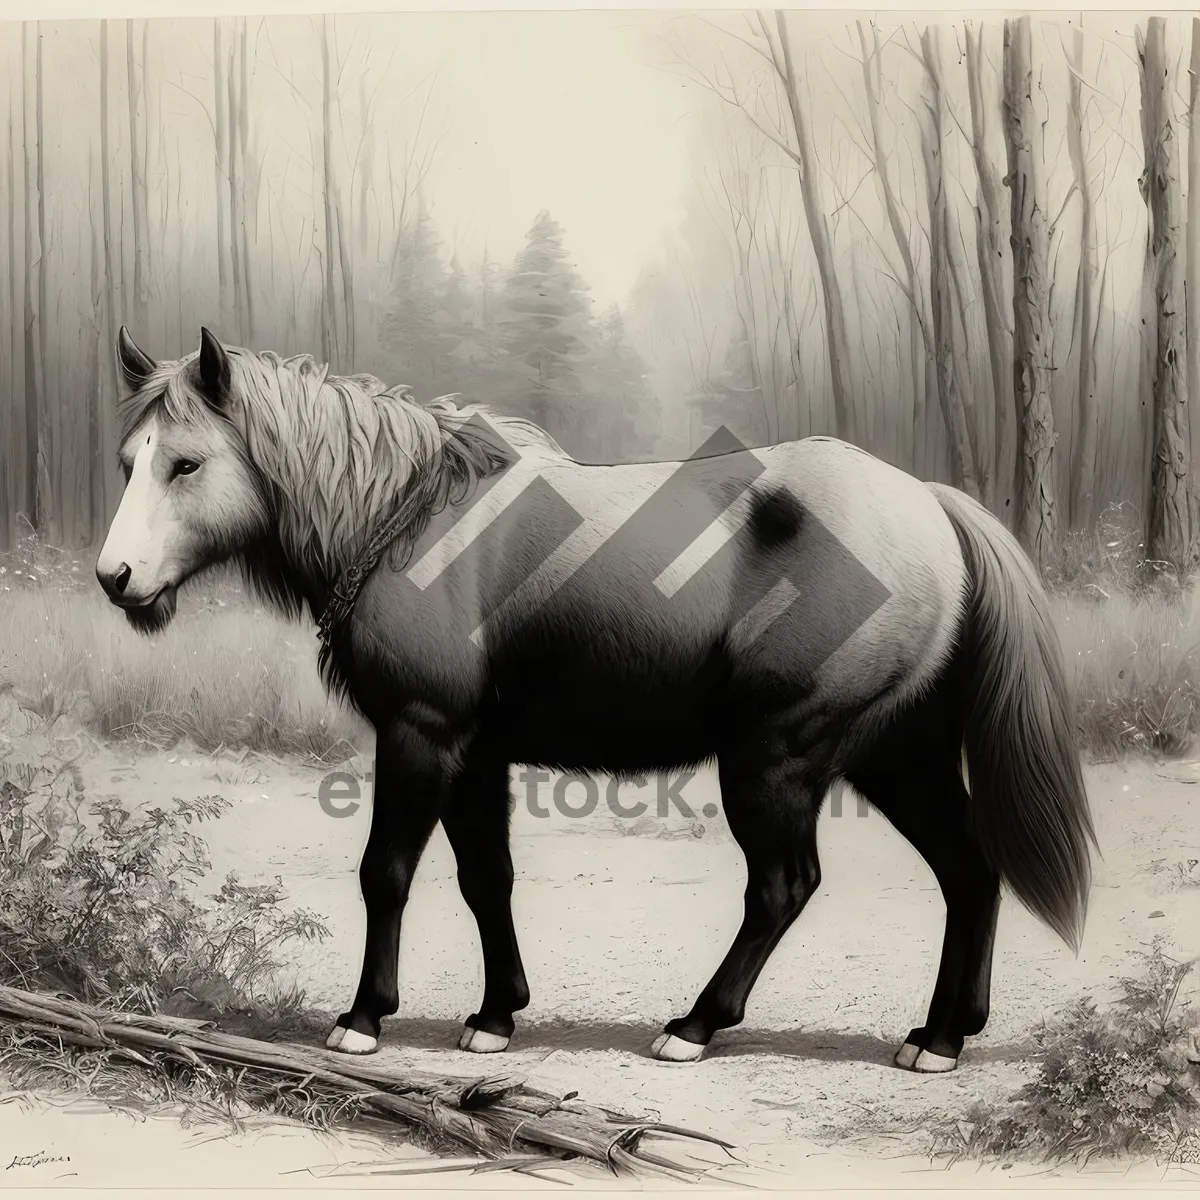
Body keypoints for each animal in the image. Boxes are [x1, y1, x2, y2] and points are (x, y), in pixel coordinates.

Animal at [96, 326, 1099, 1070]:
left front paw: (364, 1018)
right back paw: (941, 1036)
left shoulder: (419, 733)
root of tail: (930, 508)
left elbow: (387, 872)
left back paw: (696, 1026)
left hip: (781, 755)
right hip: (899, 754)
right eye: (128, 460)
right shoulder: (475, 749)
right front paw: (495, 1016)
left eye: (185, 464)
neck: (410, 520)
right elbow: (485, 877)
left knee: (784, 885)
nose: (117, 579)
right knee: (969, 871)